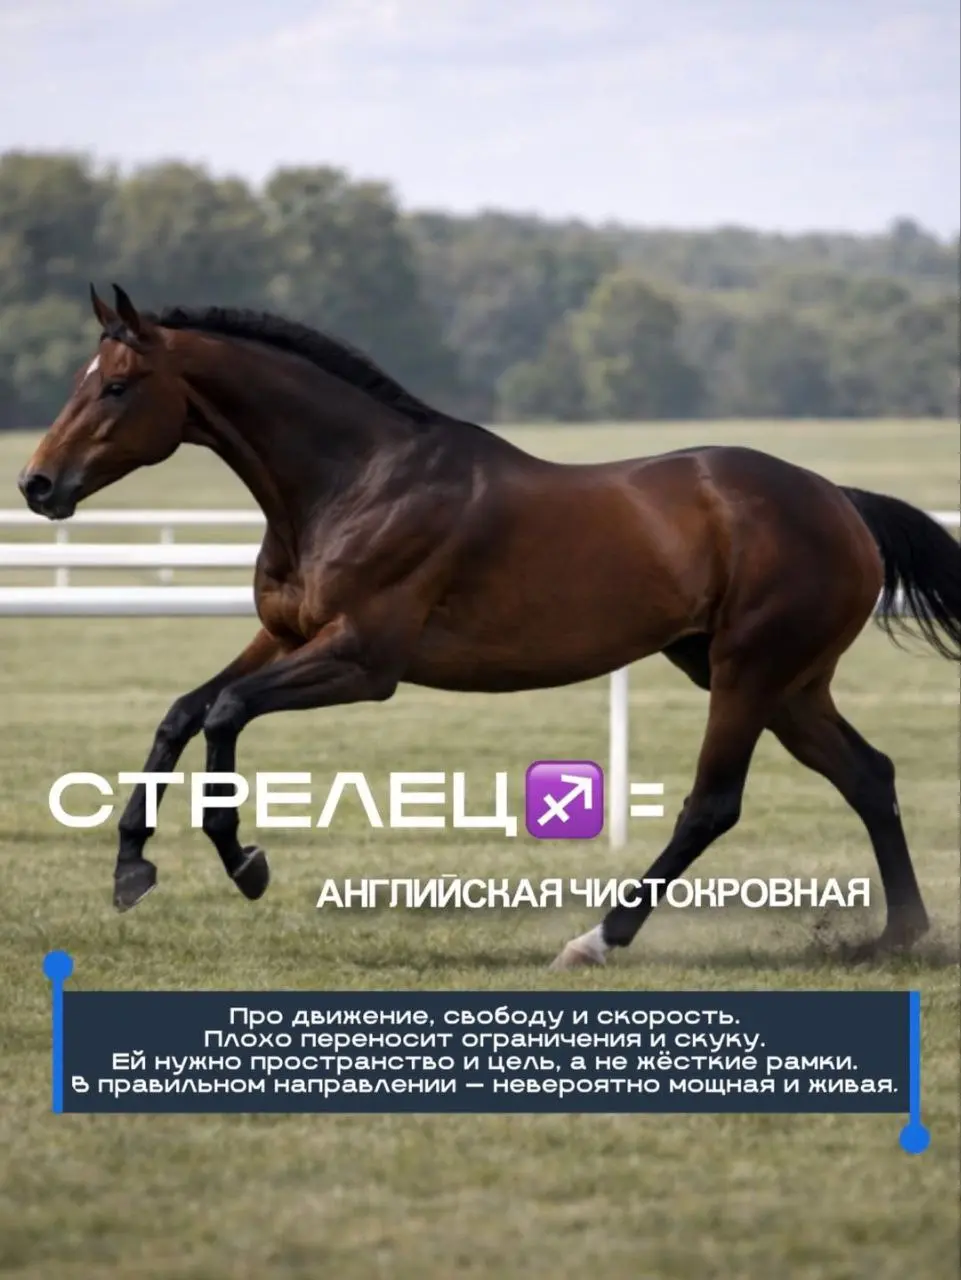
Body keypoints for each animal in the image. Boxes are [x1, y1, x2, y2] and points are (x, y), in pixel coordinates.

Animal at [18, 284, 960, 969]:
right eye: (78, 380)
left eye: (115, 385)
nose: (36, 485)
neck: (352, 480)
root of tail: (839, 502)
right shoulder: (285, 637)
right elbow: (182, 711)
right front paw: (131, 867)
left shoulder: (362, 662)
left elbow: (224, 713)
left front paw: (244, 861)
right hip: (777, 681)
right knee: (867, 775)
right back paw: (894, 936)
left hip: (749, 672)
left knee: (712, 804)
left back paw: (596, 939)